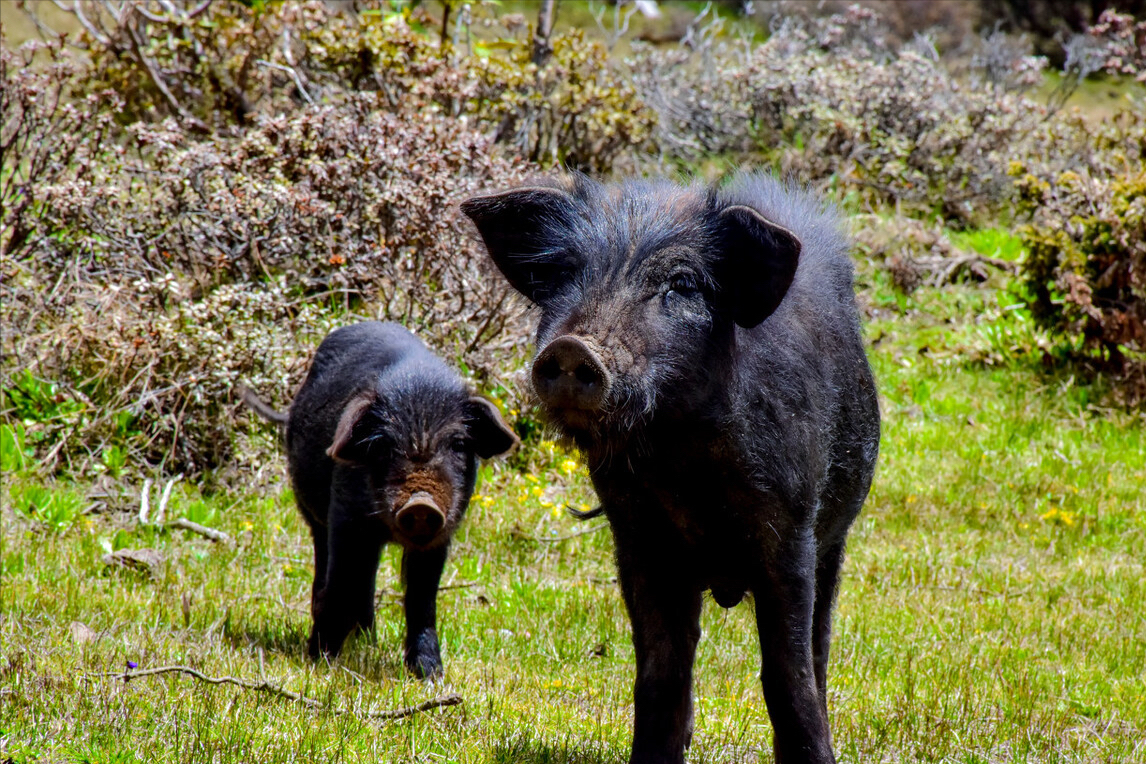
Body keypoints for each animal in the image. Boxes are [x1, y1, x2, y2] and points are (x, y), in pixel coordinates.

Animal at [253, 320, 517, 673]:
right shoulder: (345, 518)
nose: (421, 502)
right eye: (384, 445)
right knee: (333, 573)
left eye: (459, 444)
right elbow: (340, 583)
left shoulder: (440, 537)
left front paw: (429, 674)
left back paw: (367, 643)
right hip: (313, 515)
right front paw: (321, 663)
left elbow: (422, 597)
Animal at [460, 175, 880, 764]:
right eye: (563, 273)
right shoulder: (637, 534)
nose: (571, 348)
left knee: (818, 646)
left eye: (681, 283)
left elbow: (787, 672)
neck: (681, 459)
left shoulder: (790, 524)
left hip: (835, 539)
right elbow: (659, 667)